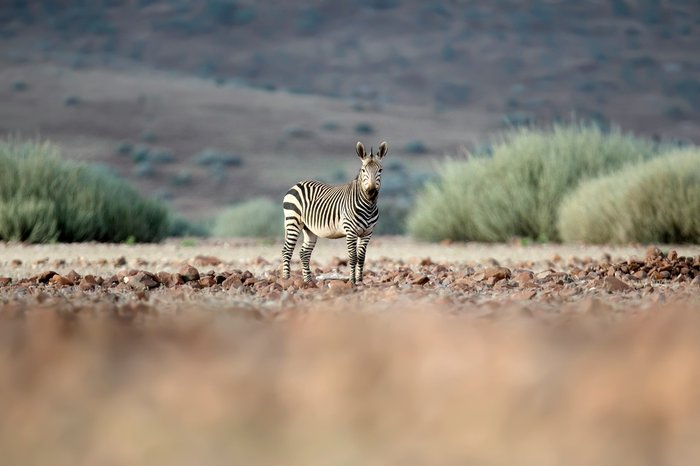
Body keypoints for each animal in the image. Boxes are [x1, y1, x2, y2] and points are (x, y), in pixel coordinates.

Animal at [282, 141, 388, 285]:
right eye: (363, 170)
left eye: (380, 170)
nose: (371, 192)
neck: (368, 206)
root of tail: (298, 184)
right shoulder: (351, 231)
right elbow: (353, 257)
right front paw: (352, 280)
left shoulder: (367, 233)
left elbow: (361, 258)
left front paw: (360, 281)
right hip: (292, 221)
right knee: (287, 251)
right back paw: (286, 279)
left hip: (309, 228)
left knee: (304, 253)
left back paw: (308, 280)